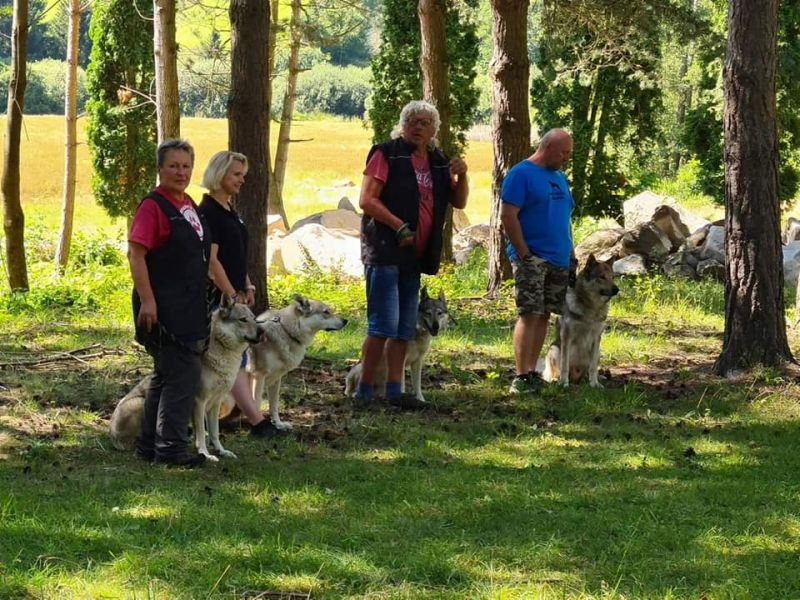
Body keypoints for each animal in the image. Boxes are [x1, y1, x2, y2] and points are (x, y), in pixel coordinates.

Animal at [109, 294, 265, 461]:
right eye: (243, 320)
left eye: (254, 318)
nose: (262, 331)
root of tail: (112, 433)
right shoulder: (199, 401)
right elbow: (201, 433)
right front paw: (205, 454)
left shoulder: (216, 403)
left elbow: (214, 433)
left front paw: (221, 451)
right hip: (141, 402)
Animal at [225, 294, 347, 431]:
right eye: (326, 312)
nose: (346, 321)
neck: (286, 331)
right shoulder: (258, 376)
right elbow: (256, 404)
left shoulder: (276, 379)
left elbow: (274, 406)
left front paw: (278, 424)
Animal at [541, 254, 619, 387]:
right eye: (602, 277)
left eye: (612, 277)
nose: (617, 289)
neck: (591, 308)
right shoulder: (566, 336)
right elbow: (564, 365)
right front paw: (564, 383)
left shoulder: (596, 337)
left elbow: (593, 367)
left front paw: (594, 384)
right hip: (555, 348)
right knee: (554, 372)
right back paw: (556, 380)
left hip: (599, 352)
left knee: (589, 370)